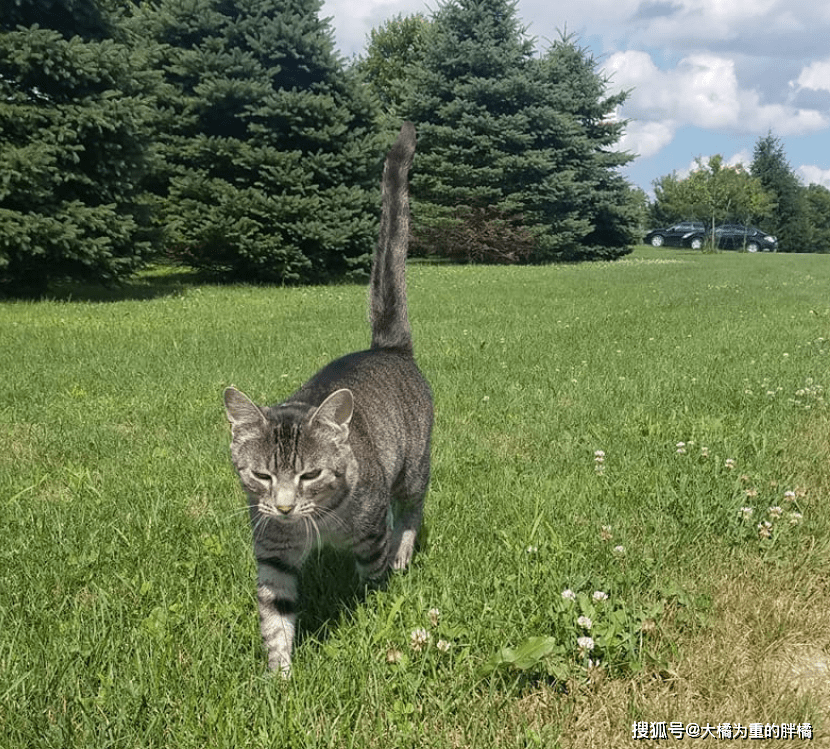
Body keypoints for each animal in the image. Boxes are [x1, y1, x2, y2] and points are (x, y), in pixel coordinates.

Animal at [226, 122, 436, 672]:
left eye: (310, 474)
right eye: (262, 476)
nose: (282, 507)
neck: (313, 527)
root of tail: (386, 348)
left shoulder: (371, 532)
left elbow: (374, 580)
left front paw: (372, 614)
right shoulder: (272, 553)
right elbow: (275, 616)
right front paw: (279, 677)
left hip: (414, 466)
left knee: (412, 511)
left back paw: (406, 550)